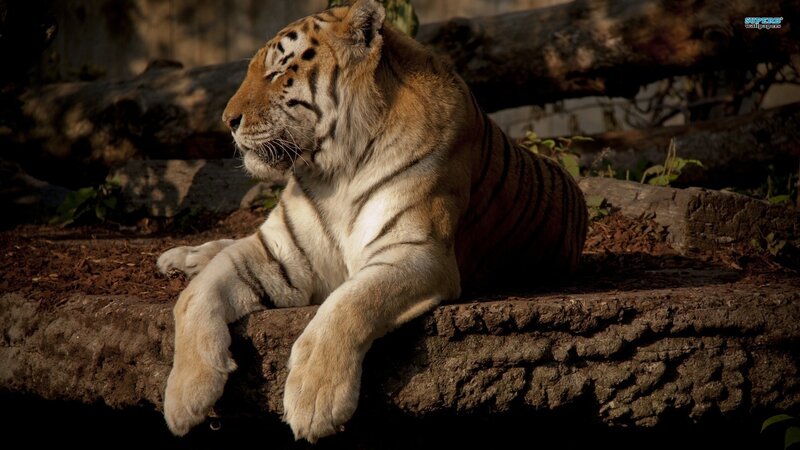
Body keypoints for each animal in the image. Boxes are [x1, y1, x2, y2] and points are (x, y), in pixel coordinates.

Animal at [157, 0, 587, 442]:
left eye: (276, 73)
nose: (228, 121)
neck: (334, 171)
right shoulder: (277, 252)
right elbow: (193, 298)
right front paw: (184, 398)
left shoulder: (417, 252)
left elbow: (349, 303)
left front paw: (314, 398)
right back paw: (181, 258)